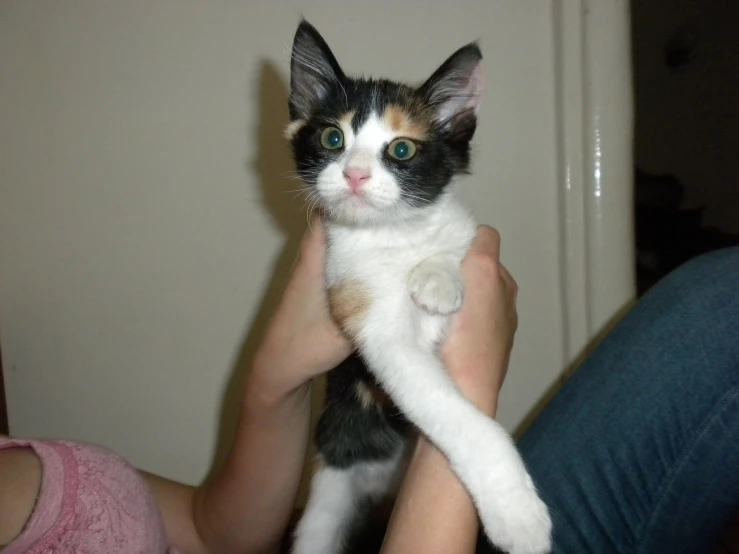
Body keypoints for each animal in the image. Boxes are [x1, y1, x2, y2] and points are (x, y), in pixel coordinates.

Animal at [286, 19, 552, 552]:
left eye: (402, 149)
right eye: (332, 137)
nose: (355, 174)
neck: (393, 234)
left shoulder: (467, 232)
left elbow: (457, 241)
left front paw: (436, 278)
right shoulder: (359, 305)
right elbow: (447, 409)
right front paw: (517, 515)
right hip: (331, 475)